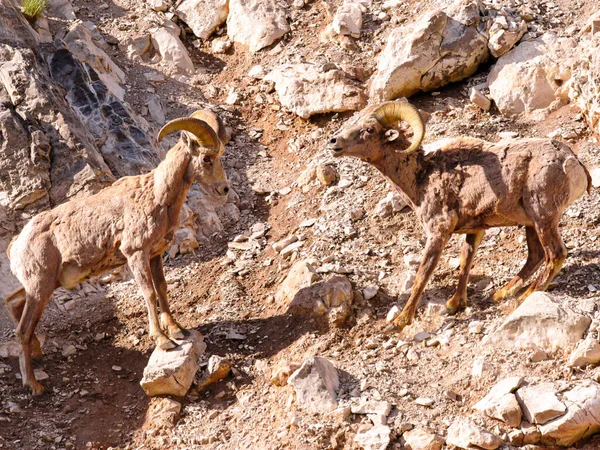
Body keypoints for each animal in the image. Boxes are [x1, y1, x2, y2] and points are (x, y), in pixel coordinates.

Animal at [4, 110, 230, 394]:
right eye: (206, 158)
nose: (224, 189)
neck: (157, 196)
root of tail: (16, 244)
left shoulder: (154, 255)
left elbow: (162, 289)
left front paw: (177, 331)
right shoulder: (136, 254)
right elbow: (149, 293)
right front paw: (163, 341)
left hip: (45, 286)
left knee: (13, 303)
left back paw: (36, 354)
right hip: (40, 287)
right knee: (22, 329)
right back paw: (33, 385)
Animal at [328, 100, 592, 332]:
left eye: (369, 130)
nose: (334, 142)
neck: (421, 176)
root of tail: (572, 162)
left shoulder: (438, 233)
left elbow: (422, 274)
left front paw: (399, 322)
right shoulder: (475, 230)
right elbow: (466, 262)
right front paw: (454, 304)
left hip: (542, 217)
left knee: (555, 254)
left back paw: (520, 300)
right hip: (531, 223)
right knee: (536, 255)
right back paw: (501, 293)